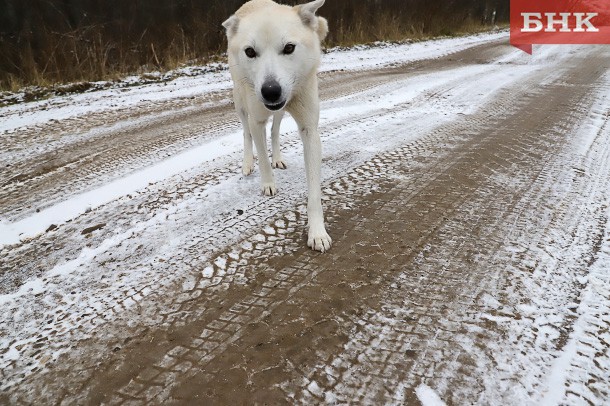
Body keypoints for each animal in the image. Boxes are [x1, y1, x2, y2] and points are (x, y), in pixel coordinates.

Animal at [221, 0, 330, 252]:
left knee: (275, 130)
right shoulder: (257, 120)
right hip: (240, 103)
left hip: (278, 113)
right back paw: (247, 163)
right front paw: (268, 183)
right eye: (250, 52)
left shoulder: (310, 130)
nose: (270, 91)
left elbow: (314, 194)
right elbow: (261, 156)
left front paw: (317, 233)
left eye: (289, 48)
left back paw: (278, 157)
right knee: (246, 134)